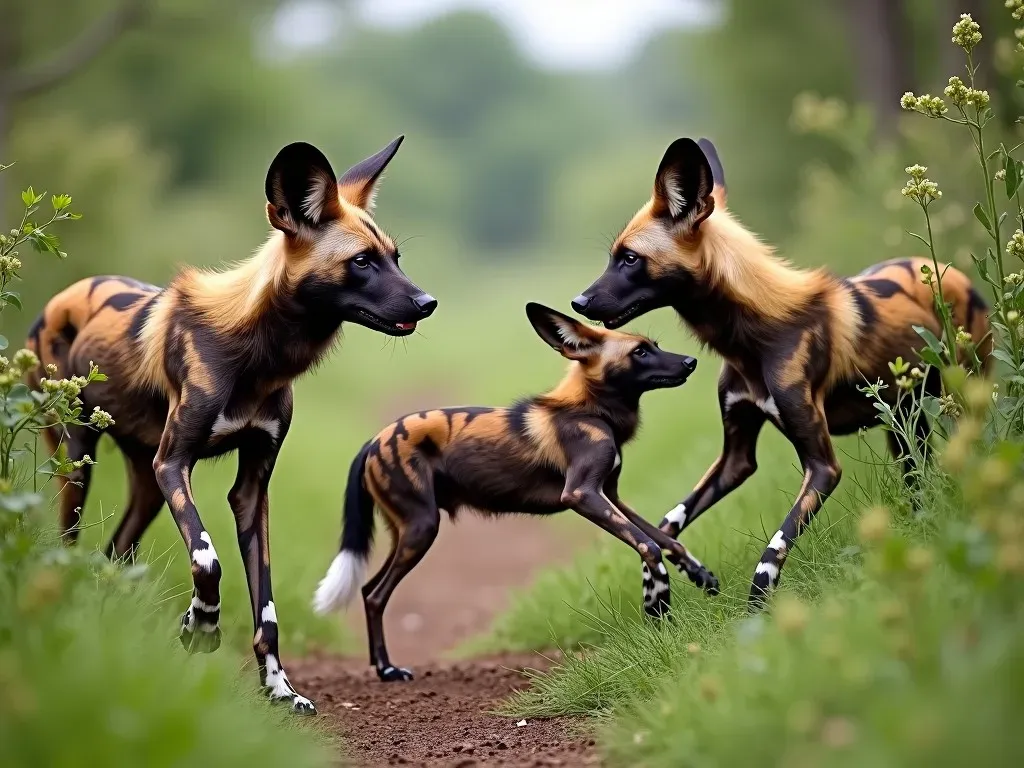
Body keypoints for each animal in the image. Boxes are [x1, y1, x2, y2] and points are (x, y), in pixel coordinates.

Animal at [23, 137, 432, 716]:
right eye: (360, 262)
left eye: (396, 258)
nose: (427, 302)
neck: (257, 356)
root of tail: (65, 293)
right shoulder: (175, 465)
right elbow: (207, 560)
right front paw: (203, 626)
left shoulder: (251, 488)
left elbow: (267, 611)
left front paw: (280, 688)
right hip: (81, 463)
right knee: (70, 545)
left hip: (146, 487)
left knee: (113, 555)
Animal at [311, 303, 720, 684]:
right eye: (640, 352)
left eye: (655, 346)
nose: (691, 361)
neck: (592, 410)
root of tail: (374, 441)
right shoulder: (582, 495)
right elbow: (649, 546)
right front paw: (658, 602)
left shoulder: (612, 497)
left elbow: (667, 539)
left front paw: (700, 575)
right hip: (422, 528)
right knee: (377, 594)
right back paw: (387, 670)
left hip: (406, 531)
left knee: (368, 591)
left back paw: (381, 666)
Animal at [569, 137, 991, 606]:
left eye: (629, 259)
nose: (578, 302)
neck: (753, 339)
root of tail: (945, 268)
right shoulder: (736, 459)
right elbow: (666, 526)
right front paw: (661, 582)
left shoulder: (823, 467)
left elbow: (772, 552)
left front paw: (760, 611)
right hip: (902, 425)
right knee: (919, 482)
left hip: (963, 404)